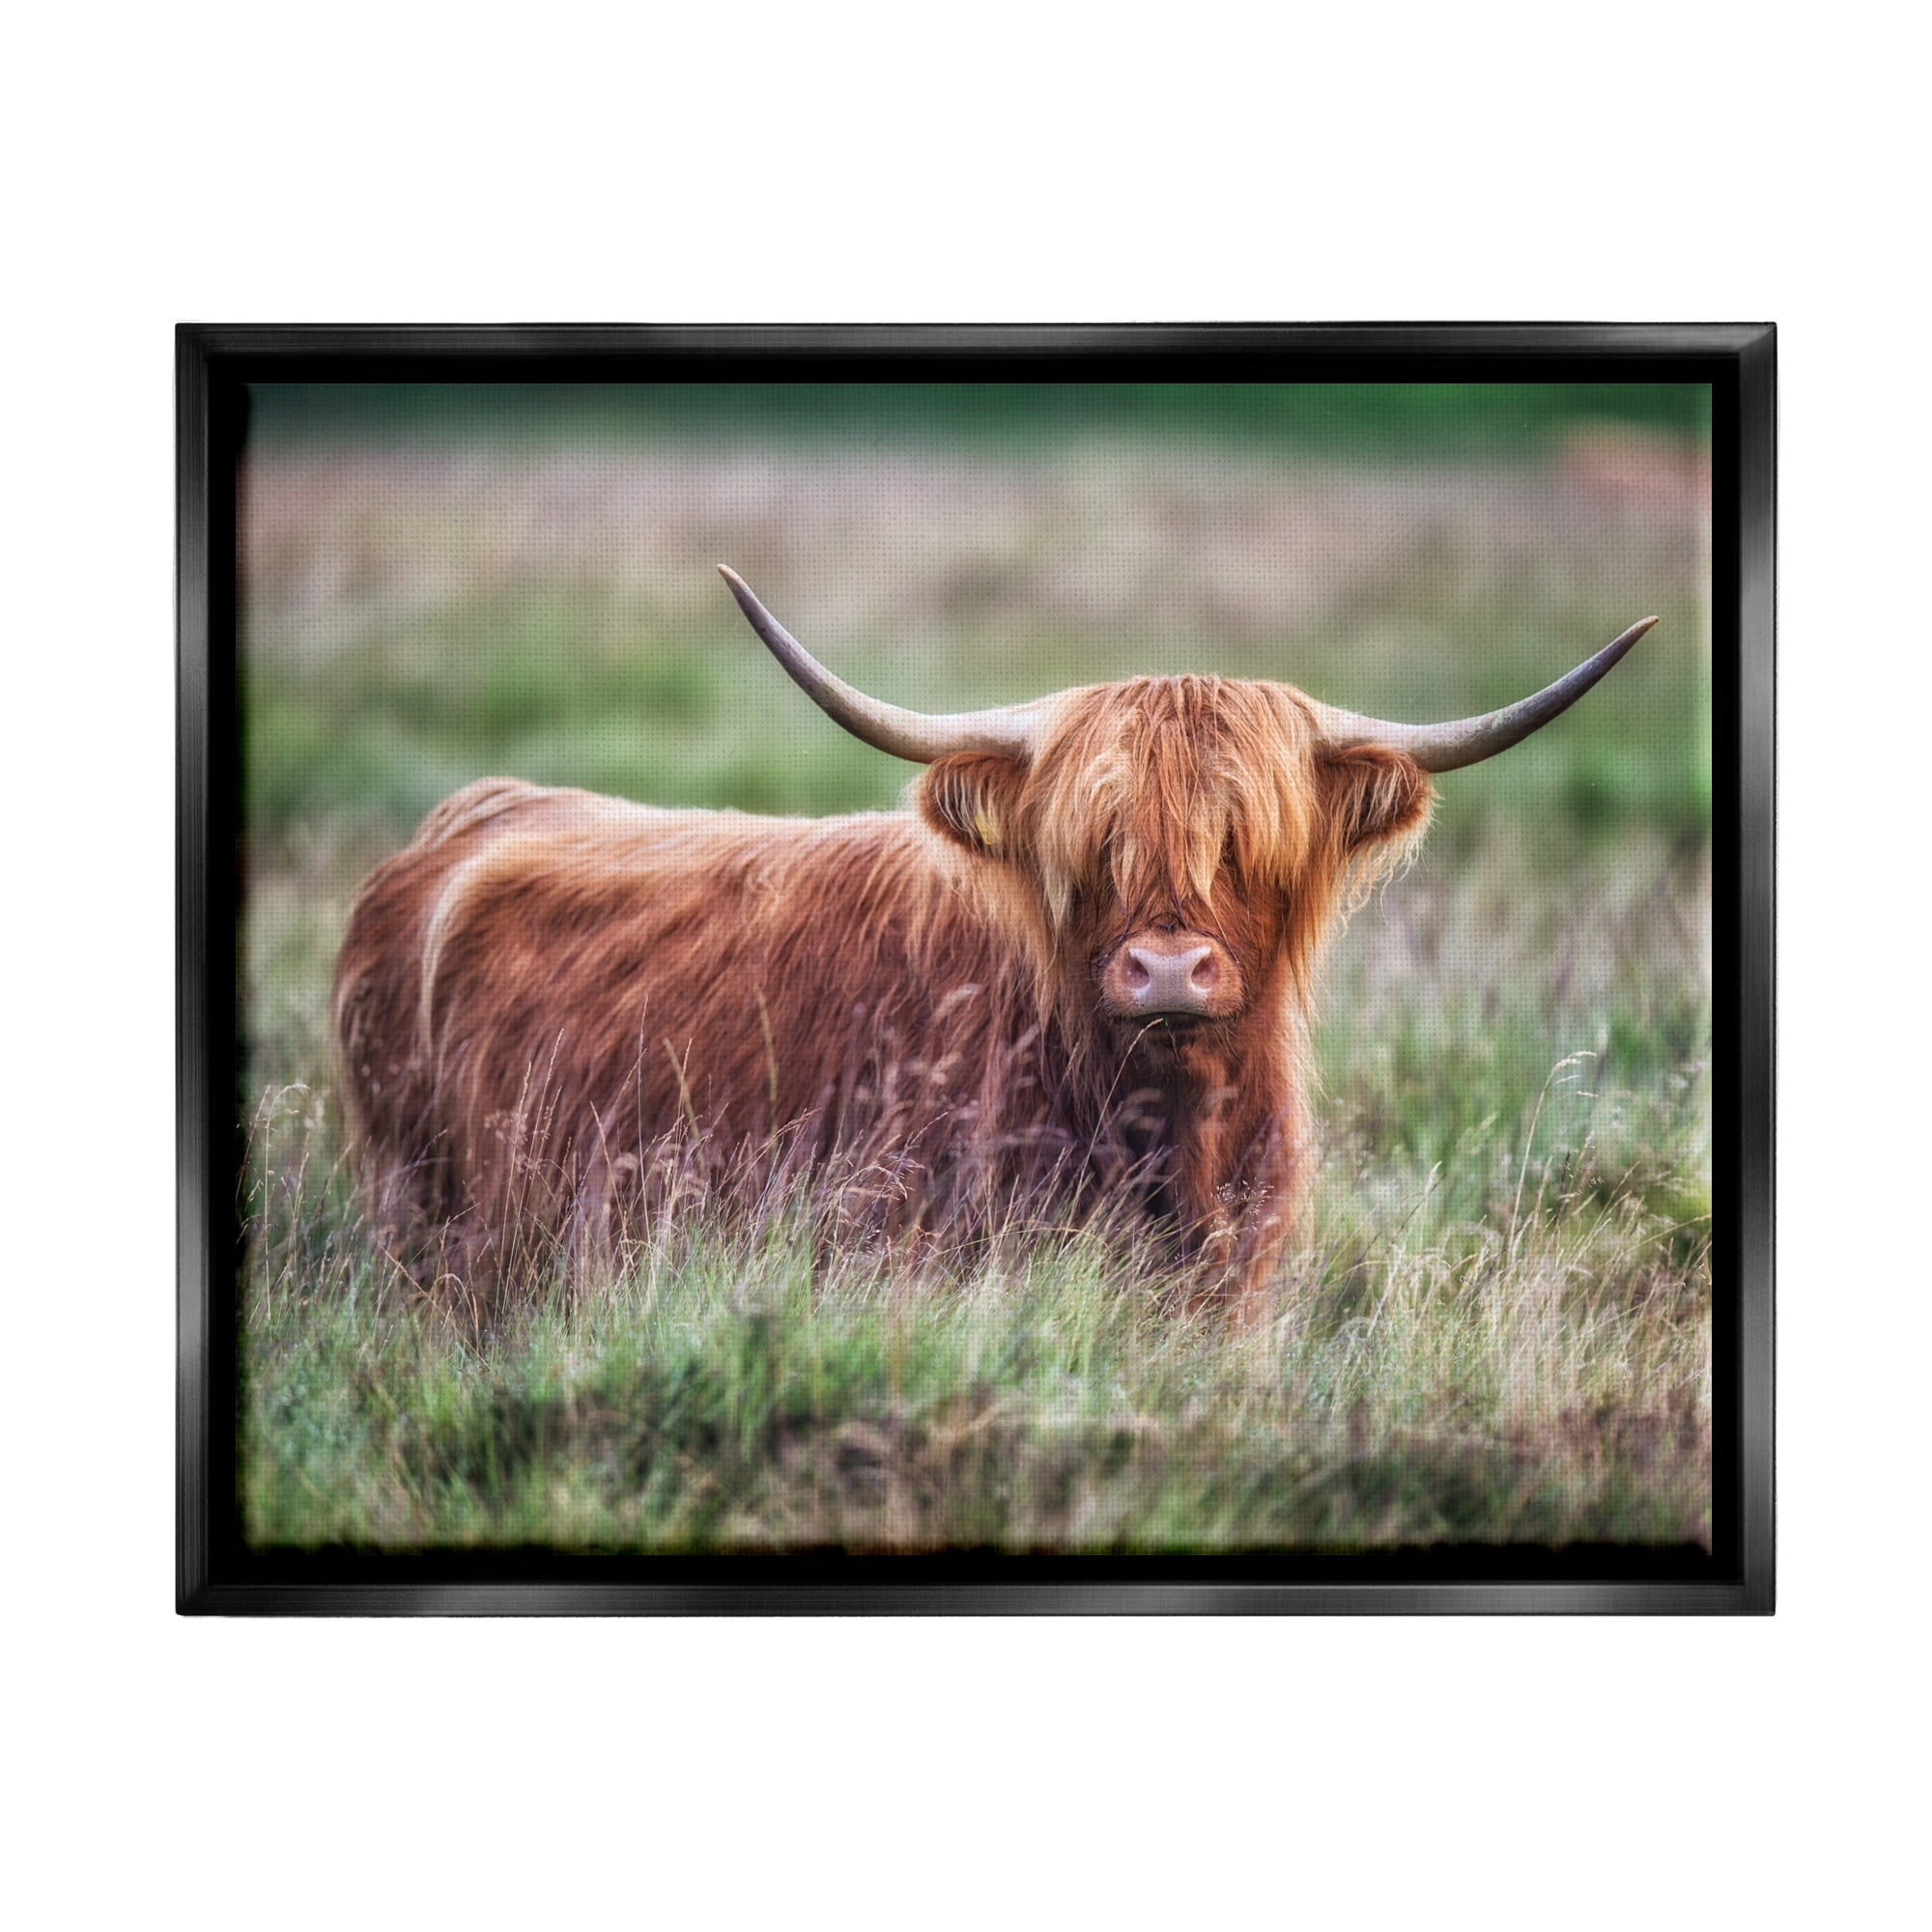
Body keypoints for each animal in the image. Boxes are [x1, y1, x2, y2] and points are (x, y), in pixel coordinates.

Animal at [332, 566, 1653, 1323]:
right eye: (1095, 843)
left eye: (1242, 838)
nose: (1164, 970)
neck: (1162, 1130)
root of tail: (474, 815)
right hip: (419, 1215)